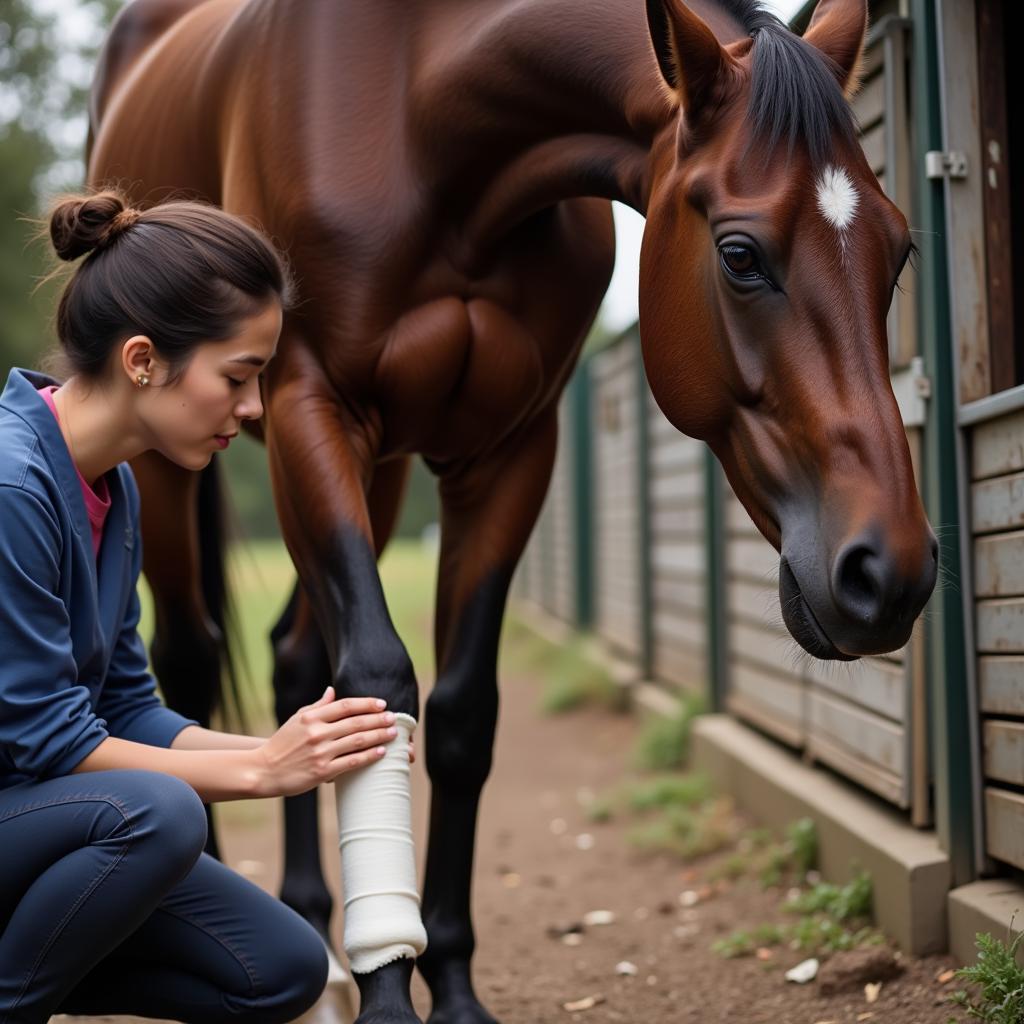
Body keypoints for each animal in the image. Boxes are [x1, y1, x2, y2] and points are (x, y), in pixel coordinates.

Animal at [86, 0, 937, 1019]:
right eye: (740, 255)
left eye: (899, 250)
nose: (890, 572)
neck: (422, 109)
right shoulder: (309, 407)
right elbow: (381, 679)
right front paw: (387, 988)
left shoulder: (511, 449)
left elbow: (460, 715)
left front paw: (446, 985)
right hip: (178, 464)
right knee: (185, 659)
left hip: (378, 477)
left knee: (294, 658)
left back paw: (315, 936)